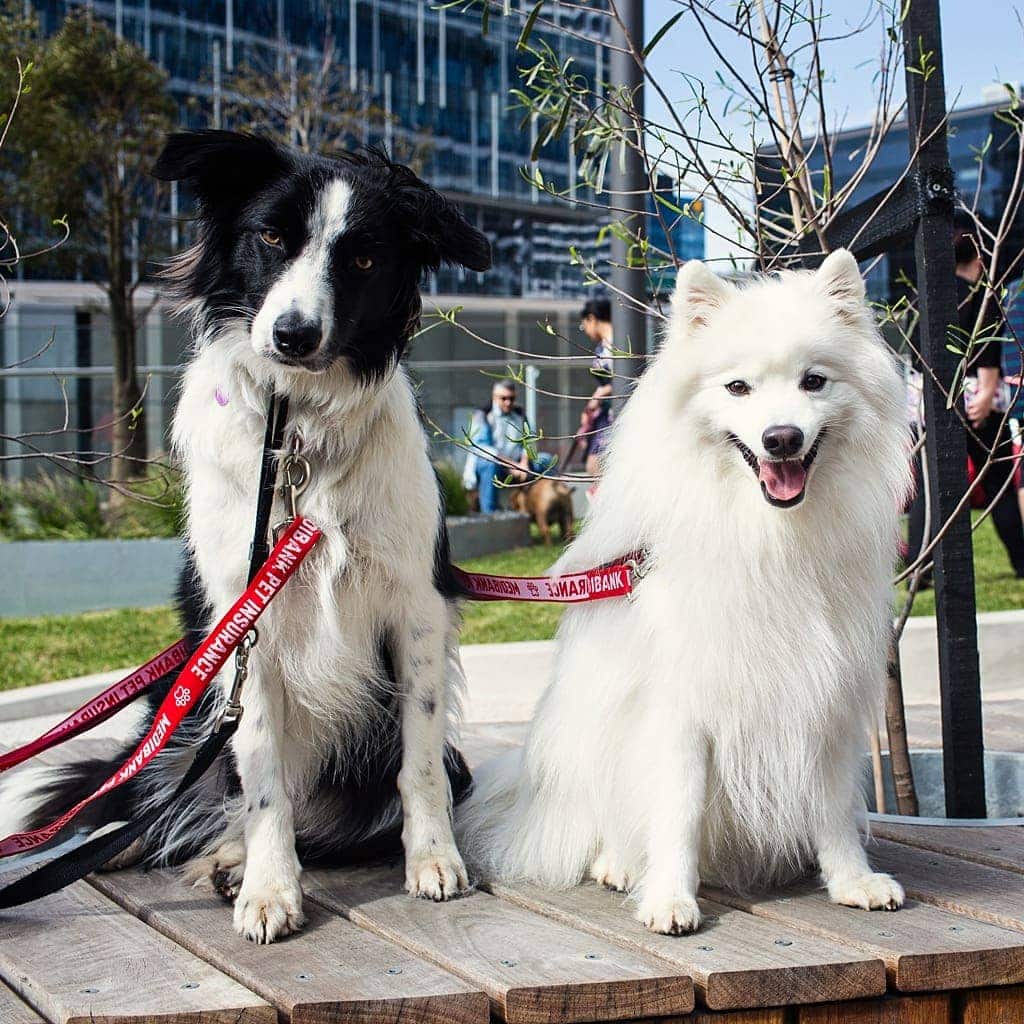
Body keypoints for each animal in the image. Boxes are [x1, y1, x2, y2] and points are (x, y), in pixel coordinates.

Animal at [4, 130, 491, 942]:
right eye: (270, 238)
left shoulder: (416, 609)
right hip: (184, 716)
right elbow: (262, 773)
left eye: (363, 260)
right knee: (169, 801)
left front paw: (433, 859)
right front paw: (268, 886)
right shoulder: (242, 622)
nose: (294, 335)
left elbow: (418, 759)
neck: (296, 433)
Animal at [458, 249, 913, 937]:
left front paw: (852, 880)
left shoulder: (827, 696)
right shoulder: (680, 710)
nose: (782, 438)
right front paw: (670, 898)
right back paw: (620, 865)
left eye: (814, 382)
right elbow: (678, 811)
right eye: (737, 388)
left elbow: (833, 805)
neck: (770, 539)